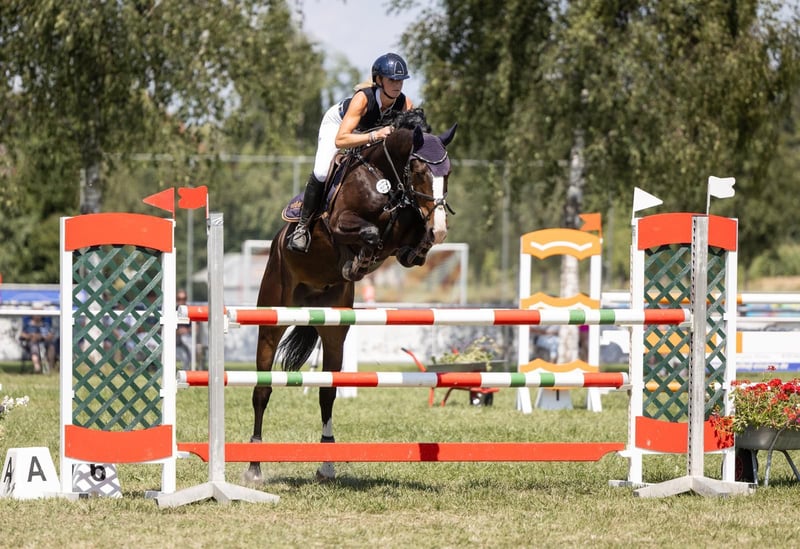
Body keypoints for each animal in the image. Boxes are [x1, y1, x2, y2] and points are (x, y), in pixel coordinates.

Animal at [245, 111, 457, 482]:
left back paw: (327, 464)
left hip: (334, 329)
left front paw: (414, 248)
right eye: (419, 170)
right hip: (271, 317)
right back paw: (254, 467)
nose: (442, 227)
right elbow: (369, 233)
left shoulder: (408, 225)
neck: (386, 179)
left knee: (327, 392)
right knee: (263, 389)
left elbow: (412, 240)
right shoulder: (340, 222)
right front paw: (357, 260)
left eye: (448, 173)